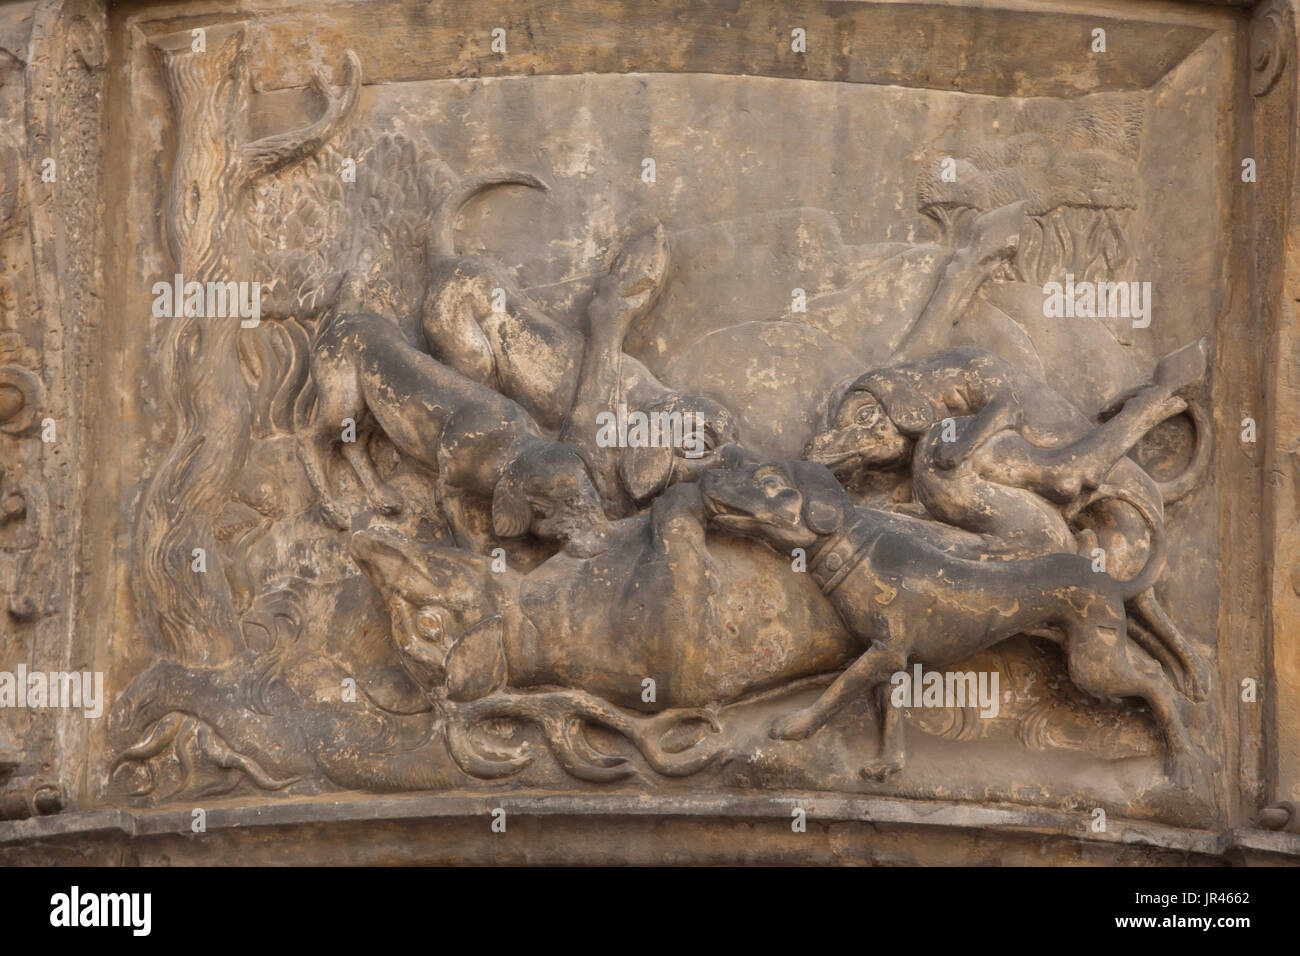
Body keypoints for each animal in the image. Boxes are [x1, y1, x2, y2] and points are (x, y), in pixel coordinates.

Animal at [702, 455, 1196, 785]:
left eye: (768, 480)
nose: (709, 477)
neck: (856, 552)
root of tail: (1111, 581)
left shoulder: (883, 653)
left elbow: (838, 689)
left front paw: (796, 726)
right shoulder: (890, 660)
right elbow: (891, 712)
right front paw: (889, 765)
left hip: (1093, 663)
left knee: (1156, 685)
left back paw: (1180, 760)